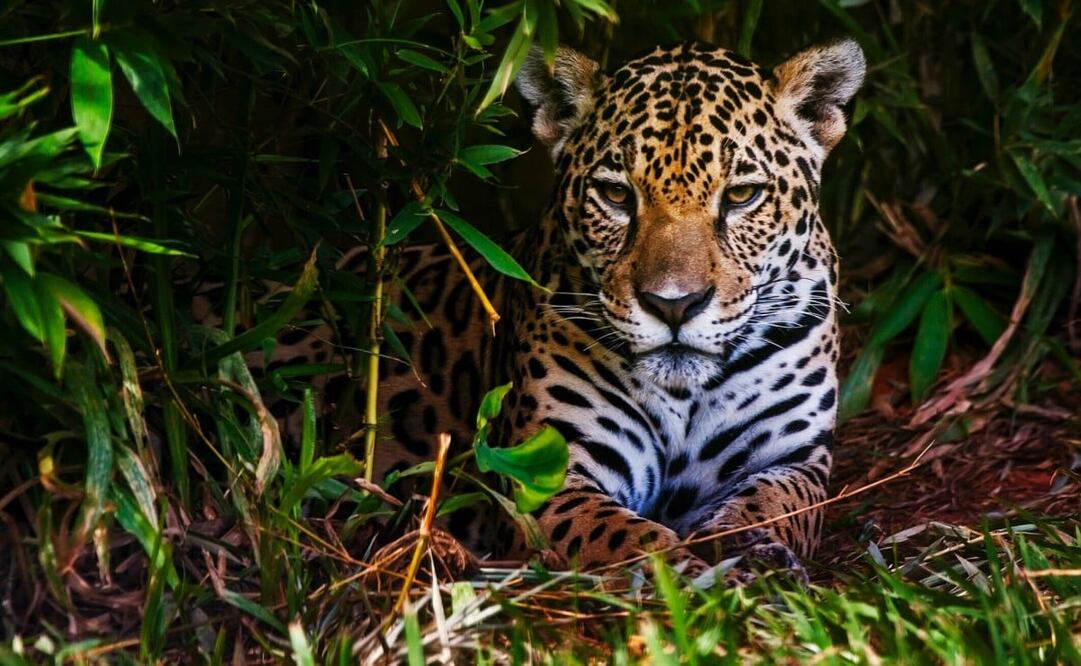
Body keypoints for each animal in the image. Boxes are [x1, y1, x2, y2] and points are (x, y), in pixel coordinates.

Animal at [243, 38, 865, 580]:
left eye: (741, 196)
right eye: (616, 196)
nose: (674, 304)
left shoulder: (792, 459)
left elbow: (774, 507)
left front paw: (751, 553)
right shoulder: (547, 475)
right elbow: (630, 538)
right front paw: (693, 576)